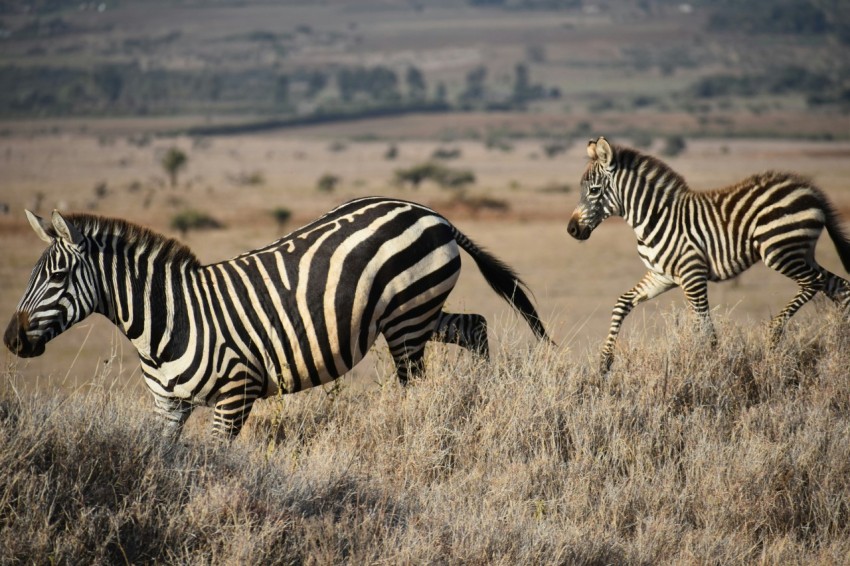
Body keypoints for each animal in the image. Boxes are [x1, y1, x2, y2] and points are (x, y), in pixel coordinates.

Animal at [4, 197, 548, 442]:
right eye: (33, 275)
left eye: (56, 276)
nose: (11, 340)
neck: (164, 322)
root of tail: (430, 211)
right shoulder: (168, 405)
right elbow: (162, 462)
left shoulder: (235, 394)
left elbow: (218, 465)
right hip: (410, 313)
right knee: (474, 325)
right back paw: (482, 398)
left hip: (409, 318)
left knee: (417, 382)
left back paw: (434, 423)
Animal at [568, 138, 850, 374]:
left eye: (594, 190)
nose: (572, 230)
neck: (654, 217)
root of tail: (811, 190)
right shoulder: (662, 276)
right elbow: (622, 302)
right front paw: (604, 363)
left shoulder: (692, 275)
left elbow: (706, 330)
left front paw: (712, 368)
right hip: (801, 252)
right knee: (841, 287)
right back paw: (841, 347)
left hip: (778, 250)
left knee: (813, 282)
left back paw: (774, 333)